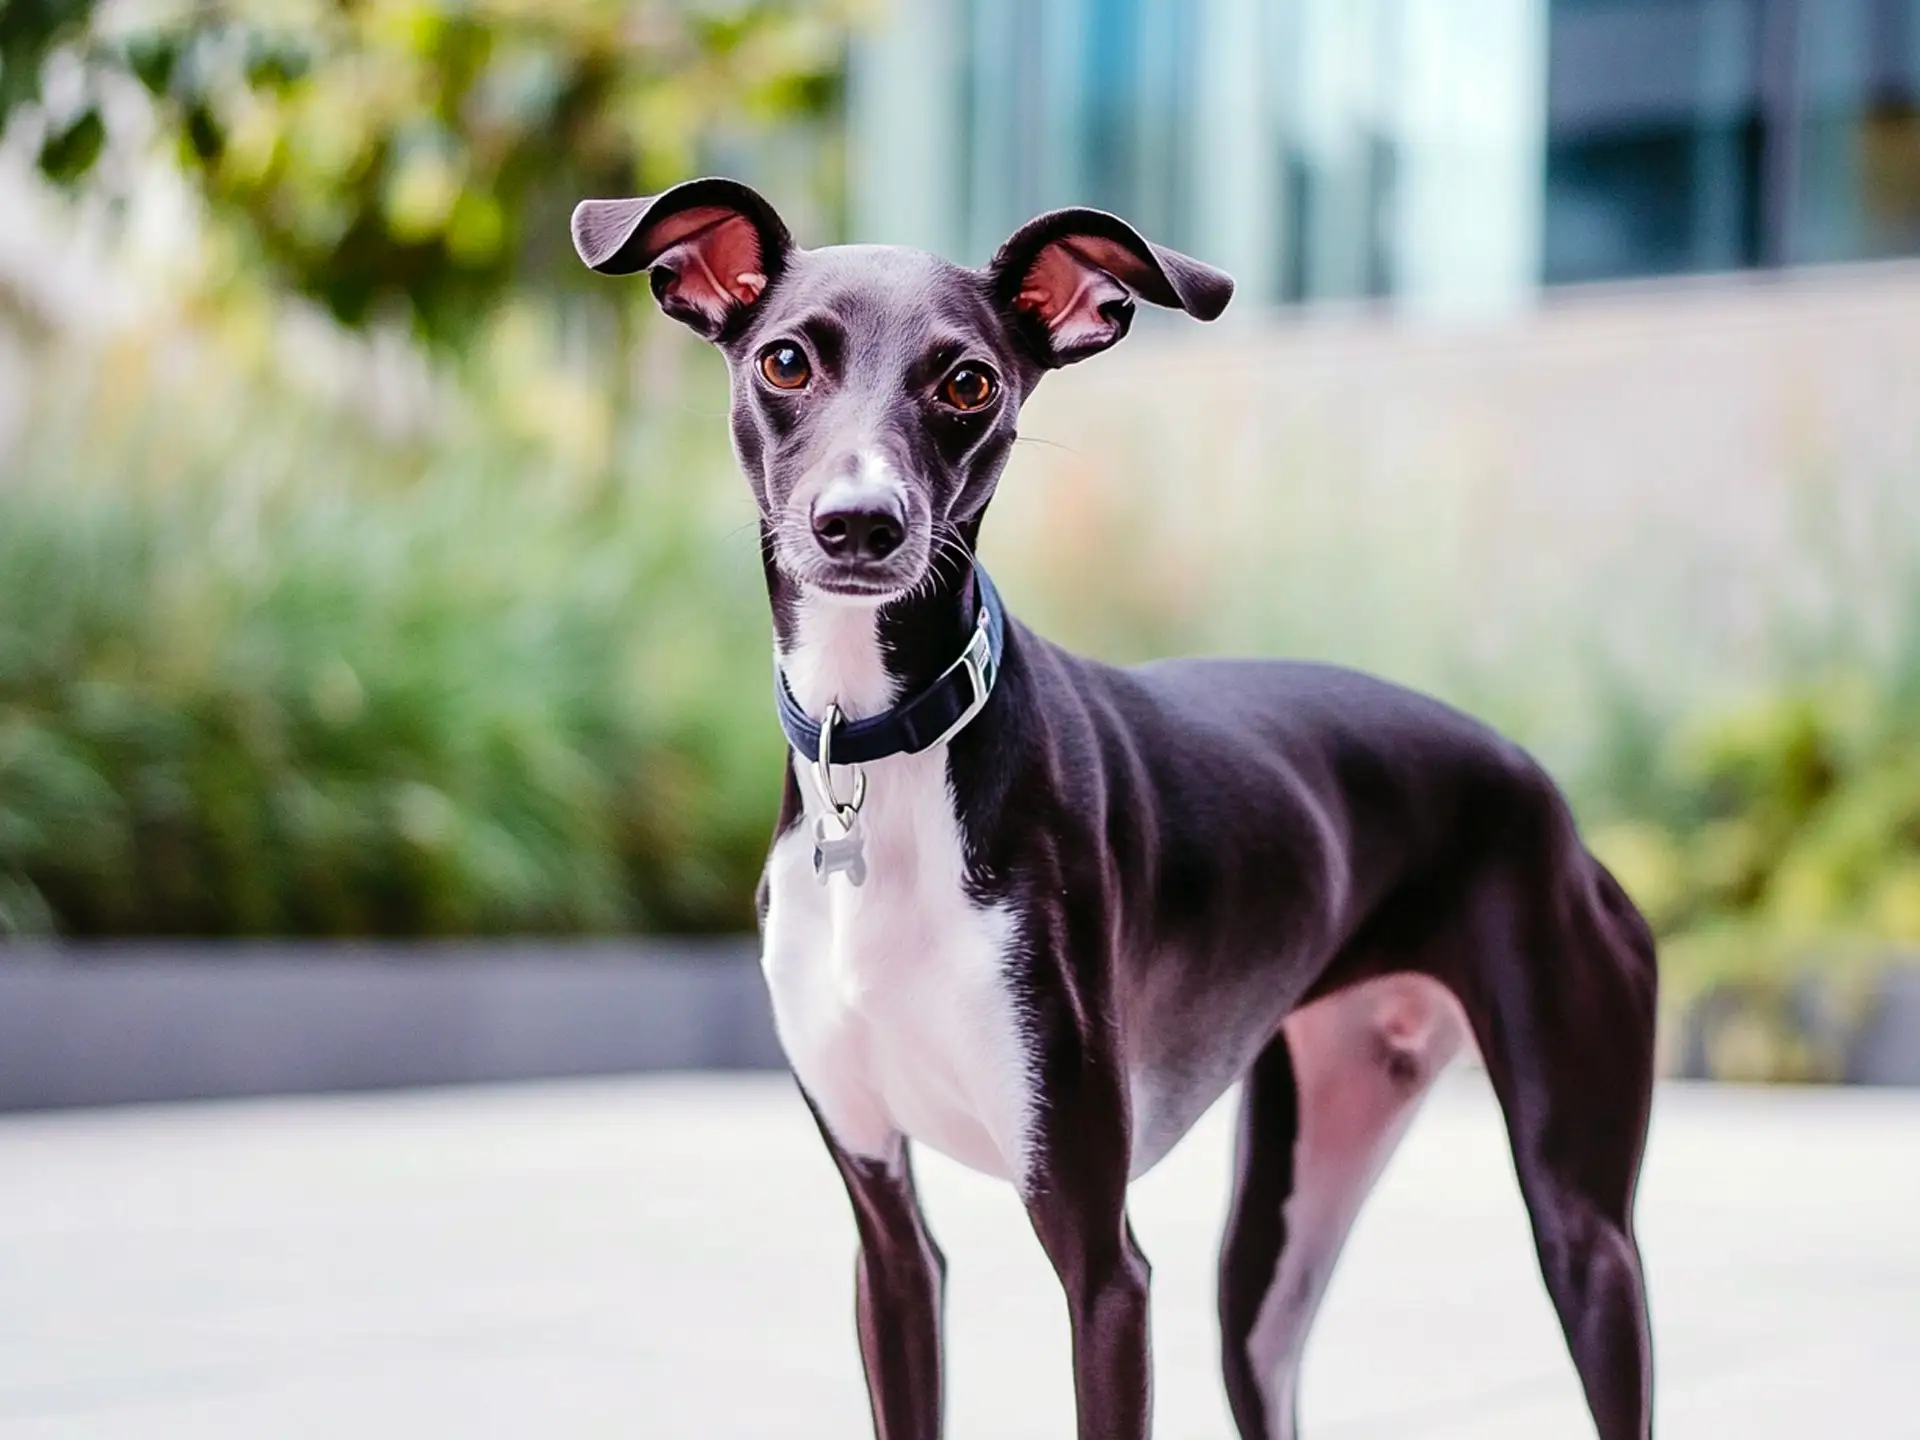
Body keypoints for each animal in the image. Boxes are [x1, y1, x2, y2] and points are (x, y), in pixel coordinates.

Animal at [564, 180, 1651, 1440]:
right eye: (785, 359)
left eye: (968, 381)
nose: (860, 524)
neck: (888, 754)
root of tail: (1541, 791)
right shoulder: (887, 1241)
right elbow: (899, 1280)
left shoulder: (1102, 1263)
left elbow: (1104, 1288)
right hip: (1270, 1257)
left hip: (1587, 1237)